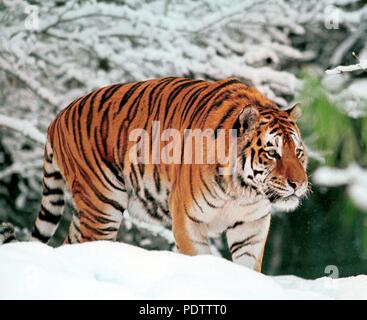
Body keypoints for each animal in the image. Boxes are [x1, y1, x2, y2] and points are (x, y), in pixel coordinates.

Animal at [1, 76, 310, 272]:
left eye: (298, 152)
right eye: (272, 153)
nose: (299, 184)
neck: (242, 190)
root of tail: (57, 118)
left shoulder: (251, 226)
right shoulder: (188, 221)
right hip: (102, 207)